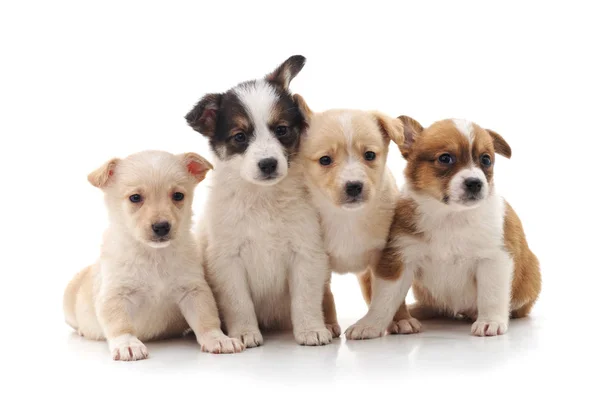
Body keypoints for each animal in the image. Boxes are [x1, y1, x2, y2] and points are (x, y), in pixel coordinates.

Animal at [63, 149, 244, 360]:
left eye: (178, 195)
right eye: (135, 198)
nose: (162, 227)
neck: (154, 255)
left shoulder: (193, 290)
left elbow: (206, 317)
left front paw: (218, 339)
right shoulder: (115, 294)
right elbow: (120, 323)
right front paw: (127, 344)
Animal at [296, 97, 420, 338]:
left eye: (369, 155)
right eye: (325, 160)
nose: (354, 186)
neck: (347, 217)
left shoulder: (385, 257)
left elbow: (391, 293)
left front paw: (401, 319)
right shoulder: (319, 260)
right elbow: (323, 295)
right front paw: (325, 324)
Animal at [344, 117, 540, 340]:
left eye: (486, 160)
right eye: (445, 158)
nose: (475, 183)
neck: (450, 215)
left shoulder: (494, 259)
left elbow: (491, 295)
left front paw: (490, 321)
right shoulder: (401, 259)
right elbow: (384, 298)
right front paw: (370, 324)